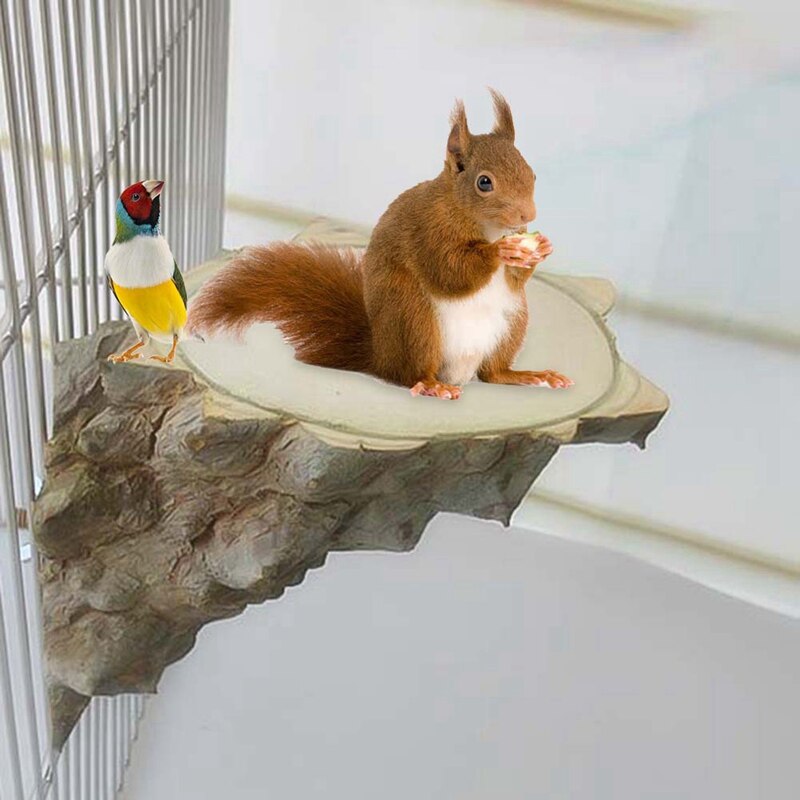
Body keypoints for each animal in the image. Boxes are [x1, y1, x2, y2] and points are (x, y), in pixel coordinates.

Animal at [186, 89, 573, 400]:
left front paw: (540, 249)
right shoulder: (428, 229)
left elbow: (514, 279)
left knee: (493, 374)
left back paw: (530, 376)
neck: (486, 226)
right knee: (408, 375)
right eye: (484, 182)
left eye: (531, 173)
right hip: (413, 320)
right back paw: (430, 385)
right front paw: (500, 252)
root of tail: (380, 354)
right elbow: (449, 271)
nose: (528, 214)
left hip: (513, 321)